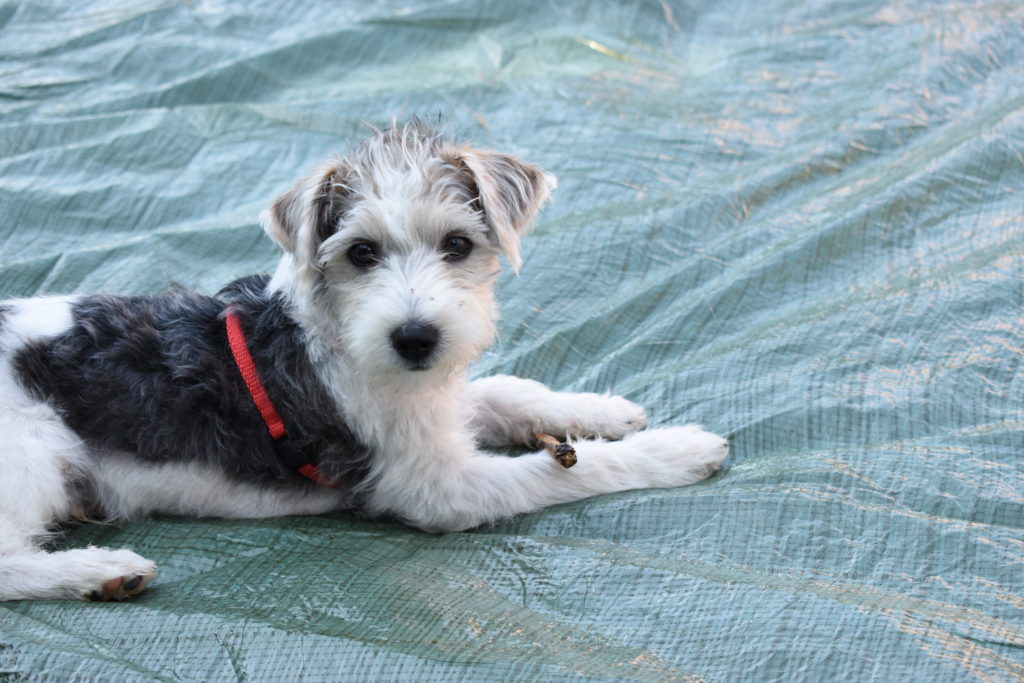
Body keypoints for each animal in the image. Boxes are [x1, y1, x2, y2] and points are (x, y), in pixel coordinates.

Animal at [0, 121, 728, 601]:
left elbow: (502, 390)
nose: (415, 339)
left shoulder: (435, 404)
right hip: (32, 451)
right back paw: (99, 571)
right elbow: (573, 471)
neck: (339, 336)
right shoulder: (442, 491)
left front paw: (601, 408)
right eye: (360, 253)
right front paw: (680, 448)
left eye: (457, 244)